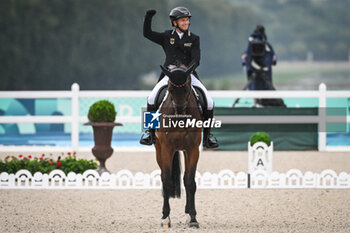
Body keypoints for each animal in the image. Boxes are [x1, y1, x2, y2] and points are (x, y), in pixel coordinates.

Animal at [156, 63, 202, 228]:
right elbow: (167, 182)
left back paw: (188, 213)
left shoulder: (193, 150)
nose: (180, 113)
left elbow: (190, 182)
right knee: (163, 177)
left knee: (186, 179)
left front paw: (193, 218)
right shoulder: (167, 149)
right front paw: (165, 217)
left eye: (187, 89)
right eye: (170, 90)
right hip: (159, 150)